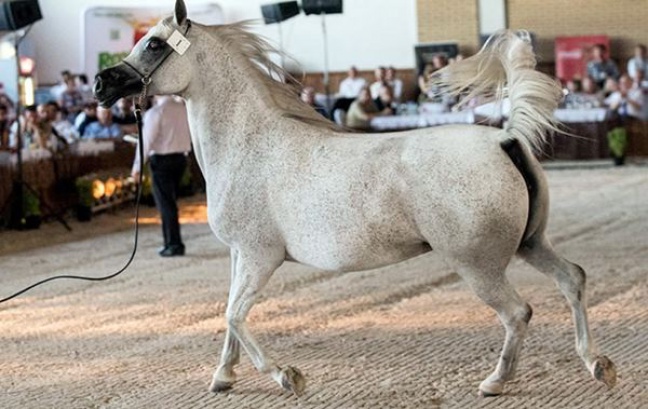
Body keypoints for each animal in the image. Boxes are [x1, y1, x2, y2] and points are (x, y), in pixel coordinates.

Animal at [92, 0, 616, 396]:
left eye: (154, 43)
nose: (101, 83)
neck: (249, 143)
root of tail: (504, 139)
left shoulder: (260, 256)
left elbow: (235, 315)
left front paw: (288, 377)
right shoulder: (240, 255)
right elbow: (229, 317)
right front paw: (223, 377)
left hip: (477, 263)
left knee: (518, 313)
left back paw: (495, 382)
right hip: (531, 243)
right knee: (572, 279)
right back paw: (597, 364)